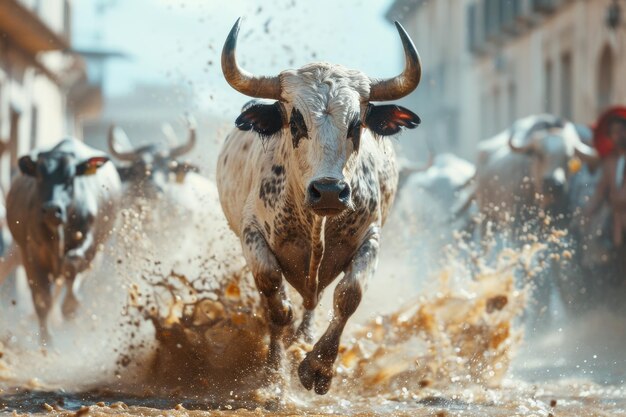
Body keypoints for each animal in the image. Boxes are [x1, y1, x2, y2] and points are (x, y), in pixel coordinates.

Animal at [213, 17, 420, 394]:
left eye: (356, 124)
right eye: (295, 121)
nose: (328, 191)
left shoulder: (370, 237)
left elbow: (348, 296)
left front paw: (318, 367)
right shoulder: (252, 235)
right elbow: (275, 303)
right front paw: (274, 373)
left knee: (316, 300)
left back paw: (305, 338)